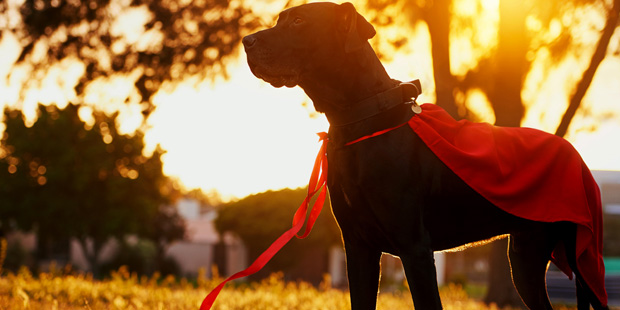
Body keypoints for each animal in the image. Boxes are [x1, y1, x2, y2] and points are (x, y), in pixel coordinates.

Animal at [241, 3, 604, 310]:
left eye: (299, 22)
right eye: (280, 20)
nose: (246, 41)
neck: (361, 118)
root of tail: (574, 152)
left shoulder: (414, 247)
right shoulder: (358, 246)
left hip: (579, 259)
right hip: (526, 255)